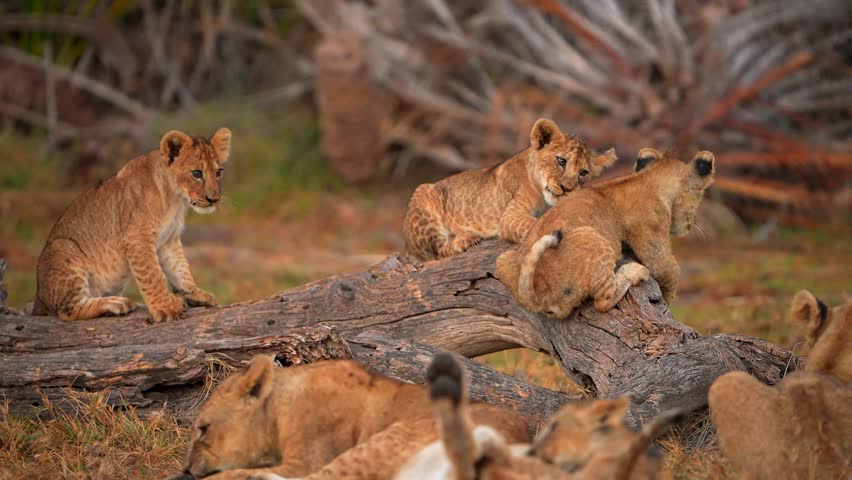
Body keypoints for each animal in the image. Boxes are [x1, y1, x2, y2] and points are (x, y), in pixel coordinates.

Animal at [32, 129, 230, 322]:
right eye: (197, 173)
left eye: (219, 172)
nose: (214, 199)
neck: (175, 198)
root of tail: (38, 301)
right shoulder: (137, 238)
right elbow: (153, 275)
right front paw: (166, 307)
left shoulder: (169, 240)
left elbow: (180, 269)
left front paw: (195, 294)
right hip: (61, 249)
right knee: (67, 310)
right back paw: (114, 303)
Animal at [403, 118, 617, 261]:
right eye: (561, 161)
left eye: (583, 172)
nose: (566, 189)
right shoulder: (509, 216)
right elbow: (533, 224)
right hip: (423, 192)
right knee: (436, 252)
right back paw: (464, 240)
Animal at [495, 148, 715, 318]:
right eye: (700, 195)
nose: (689, 226)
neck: (647, 179)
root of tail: (535, 294)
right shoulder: (652, 237)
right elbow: (669, 270)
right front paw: (668, 301)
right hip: (594, 238)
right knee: (603, 300)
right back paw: (634, 271)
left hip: (504, 260)